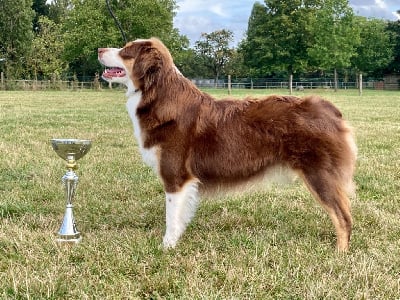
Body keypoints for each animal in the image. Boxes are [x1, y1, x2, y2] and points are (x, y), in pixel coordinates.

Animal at [98, 38, 358, 252]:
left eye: (126, 51)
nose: (99, 49)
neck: (158, 95)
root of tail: (331, 111)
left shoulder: (175, 175)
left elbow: (171, 217)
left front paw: (166, 247)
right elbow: (180, 216)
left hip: (319, 175)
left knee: (343, 217)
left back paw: (339, 254)